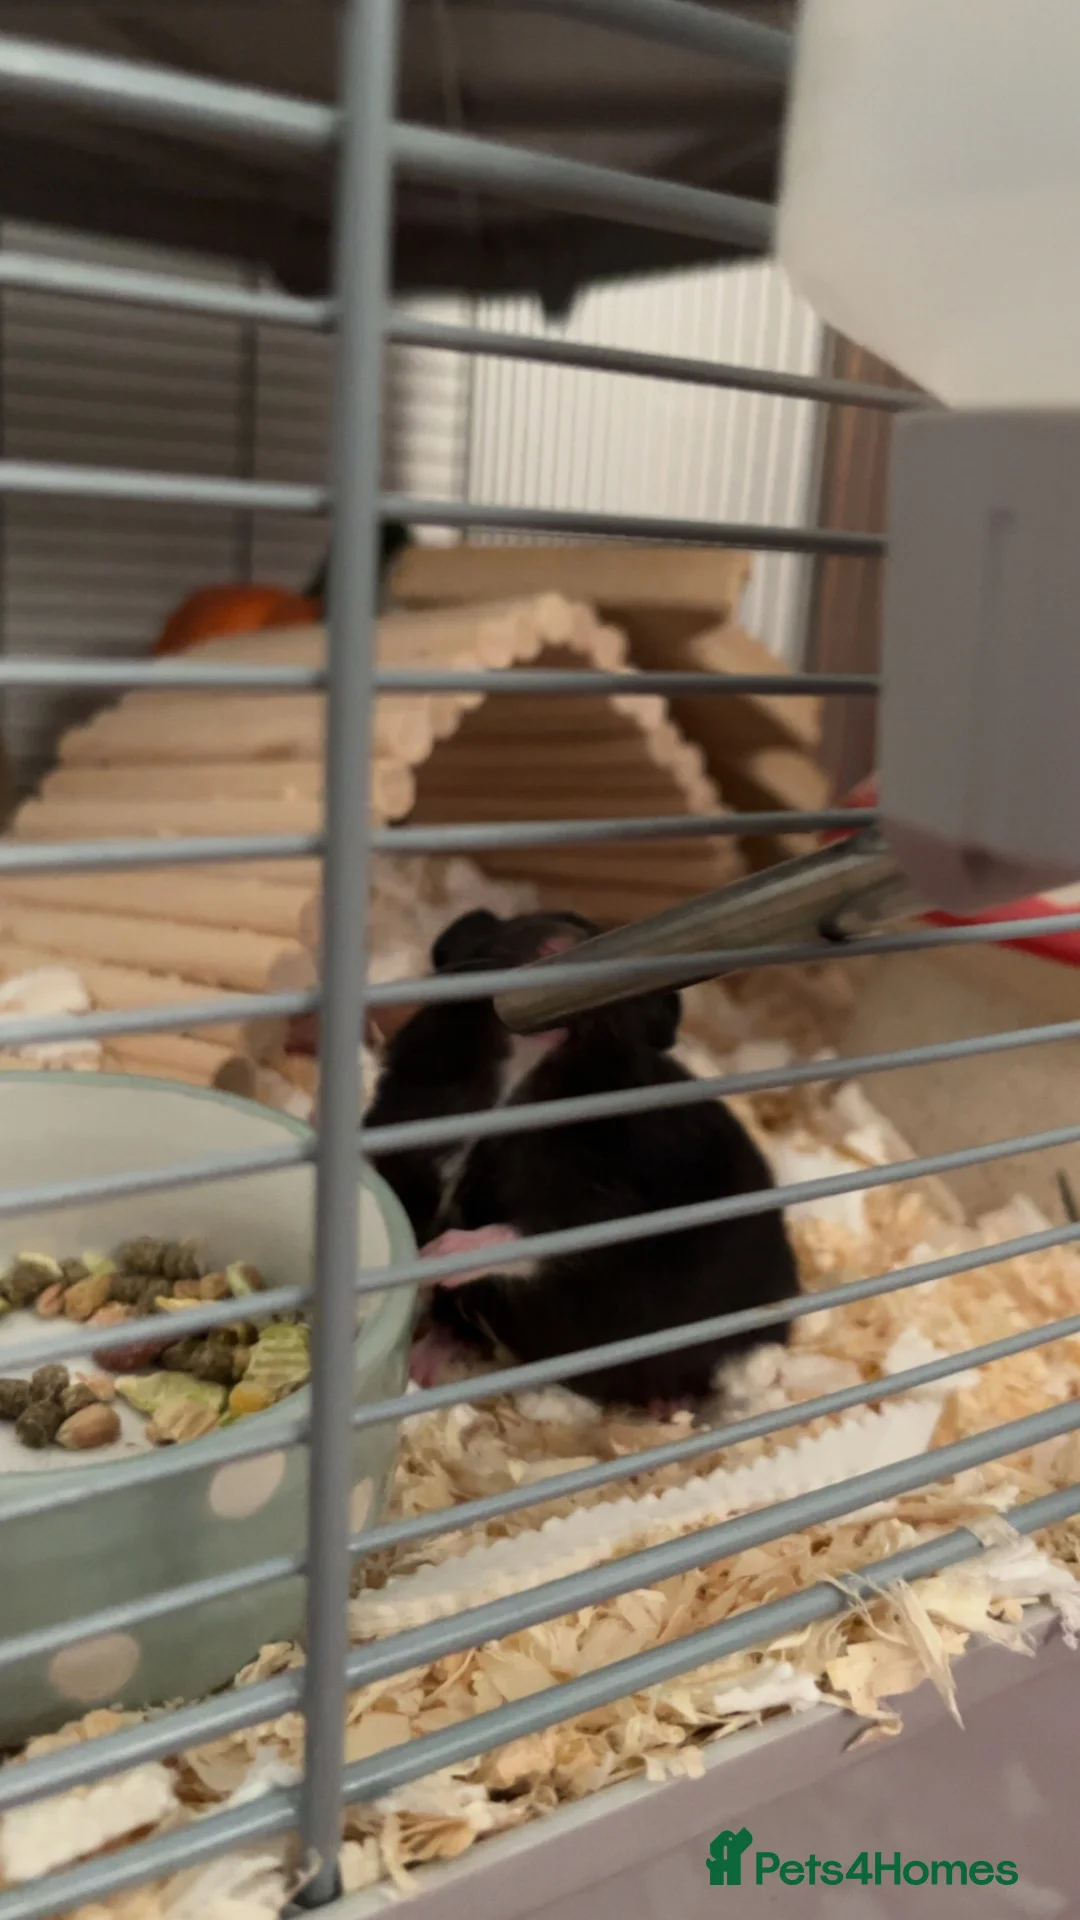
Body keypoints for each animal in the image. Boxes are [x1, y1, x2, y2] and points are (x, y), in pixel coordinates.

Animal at [364, 907, 798, 1412]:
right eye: (525, 923)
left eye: (595, 935)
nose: (560, 948)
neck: (522, 1068)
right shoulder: (403, 1133)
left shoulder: (599, 1197)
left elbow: (532, 1237)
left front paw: (438, 1253)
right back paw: (423, 1364)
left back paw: (669, 1405)